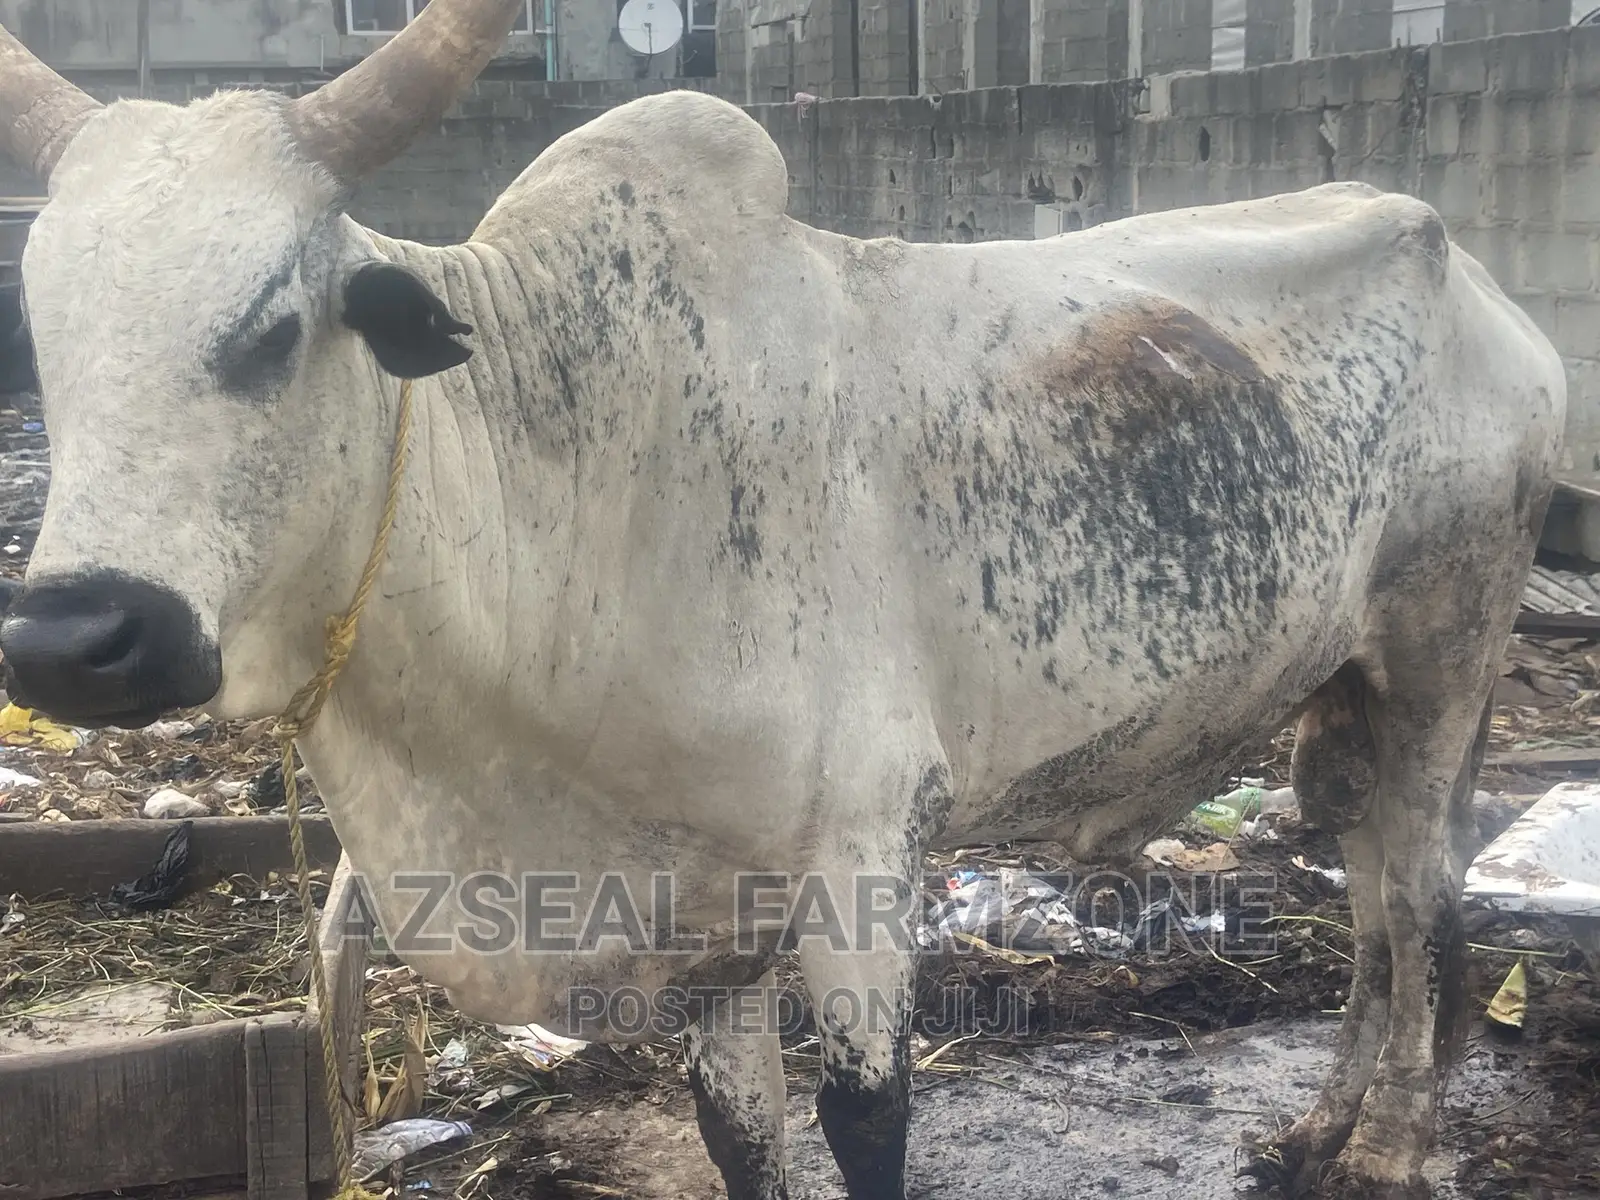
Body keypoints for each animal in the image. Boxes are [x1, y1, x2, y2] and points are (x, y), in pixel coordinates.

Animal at [0, 3, 1564, 1197]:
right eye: (44, 333)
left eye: (272, 326)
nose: (74, 641)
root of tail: (1477, 278)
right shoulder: (708, 908)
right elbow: (738, 1139)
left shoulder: (862, 854)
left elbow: (865, 1126)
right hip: (1341, 686)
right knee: (1369, 892)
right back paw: (1319, 1129)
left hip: (1448, 643)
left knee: (1422, 894)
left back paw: (1396, 1146)